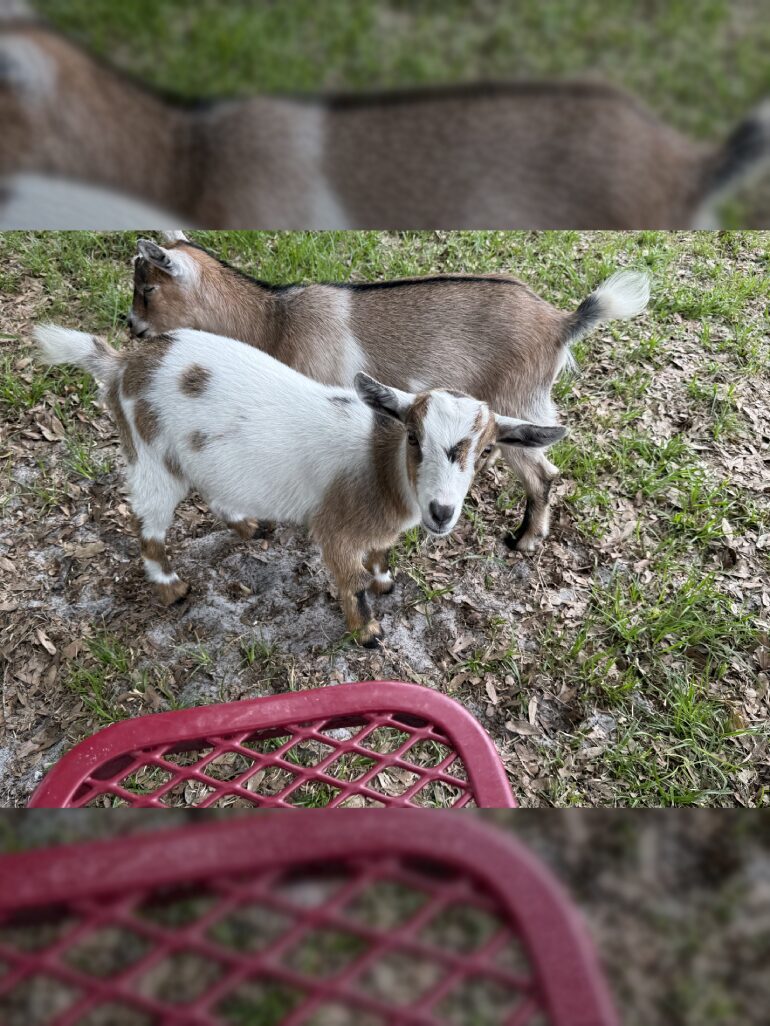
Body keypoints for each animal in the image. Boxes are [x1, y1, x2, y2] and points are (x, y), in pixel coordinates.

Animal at [34, 324, 565, 647]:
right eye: (414, 439)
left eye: (487, 451)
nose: (440, 512)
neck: (380, 466)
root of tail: (123, 364)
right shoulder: (336, 531)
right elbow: (351, 581)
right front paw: (367, 632)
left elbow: (379, 556)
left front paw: (385, 580)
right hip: (150, 458)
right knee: (148, 523)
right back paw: (171, 588)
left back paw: (248, 526)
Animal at [129, 234, 651, 552]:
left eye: (148, 289)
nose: (132, 327)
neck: (275, 320)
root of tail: (562, 322)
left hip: (516, 405)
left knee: (543, 474)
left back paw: (523, 540)